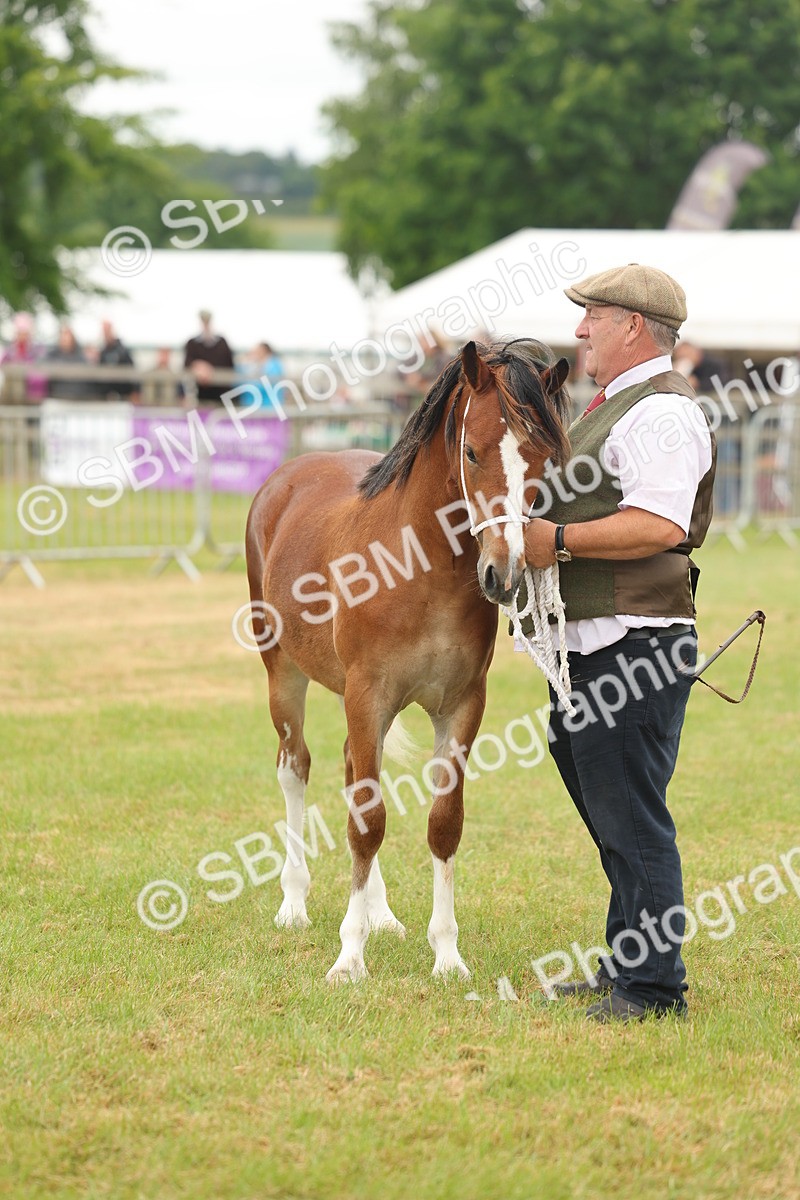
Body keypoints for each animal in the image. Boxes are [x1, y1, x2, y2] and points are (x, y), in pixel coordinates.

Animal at [245, 339, 569, 982]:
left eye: (542, 459)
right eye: (471, 451)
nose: (504, 575)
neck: (419, 570)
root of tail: (286, 477)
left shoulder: (461, 705)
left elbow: (443, 824)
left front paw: (446, 954)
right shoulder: (368, 696)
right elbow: (366, 825)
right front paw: (349, 958)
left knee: (352, 773)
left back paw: (382, 914)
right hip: (283, 674)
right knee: (295, 768)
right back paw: (294, 904)